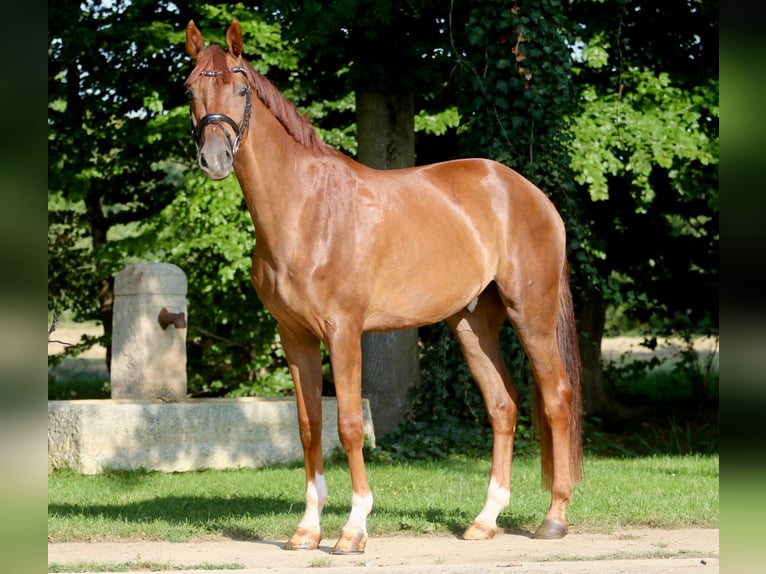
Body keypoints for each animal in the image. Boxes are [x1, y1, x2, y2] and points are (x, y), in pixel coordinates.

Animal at [184, 19, 582, 555]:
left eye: (241, 88)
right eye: (191, 90)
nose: (215, 158)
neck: (306, 210)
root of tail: (530, 193)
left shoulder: (344, 332)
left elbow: (350, 426)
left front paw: (353, 529)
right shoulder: (296, 337)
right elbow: (309, 427)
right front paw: (306, 529)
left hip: (532, 315)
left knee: (556, 397)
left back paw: (554, 518)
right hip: (472, 324)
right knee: (503, 405)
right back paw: (485, 520)